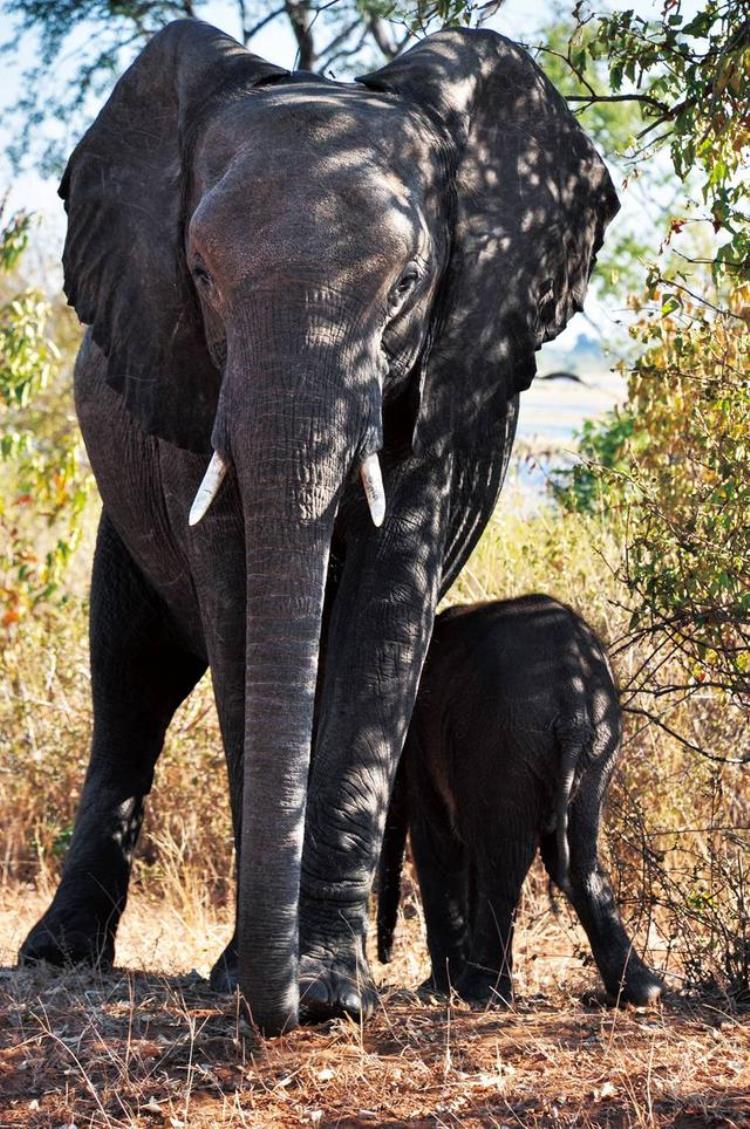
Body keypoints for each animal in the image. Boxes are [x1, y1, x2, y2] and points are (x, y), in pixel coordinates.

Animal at [17, 22, 618, 1034]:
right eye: (200, 275)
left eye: (410, 283)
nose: (278, 1007)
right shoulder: (189, 385)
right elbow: (233, 607)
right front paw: (251, 979)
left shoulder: (446, 387)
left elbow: (386, 600)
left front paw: (333, 993)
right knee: (131, 674)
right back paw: (58, 956)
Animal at [381, 596, 664, 1011]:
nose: (384, 957)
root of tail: (573, 709)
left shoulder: (422, 743)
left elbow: (439, 842)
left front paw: (435, 989)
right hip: (595, 746)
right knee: (578, 856)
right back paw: (643, 992)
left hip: (505, 741)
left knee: (505, 862)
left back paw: (479, 994)